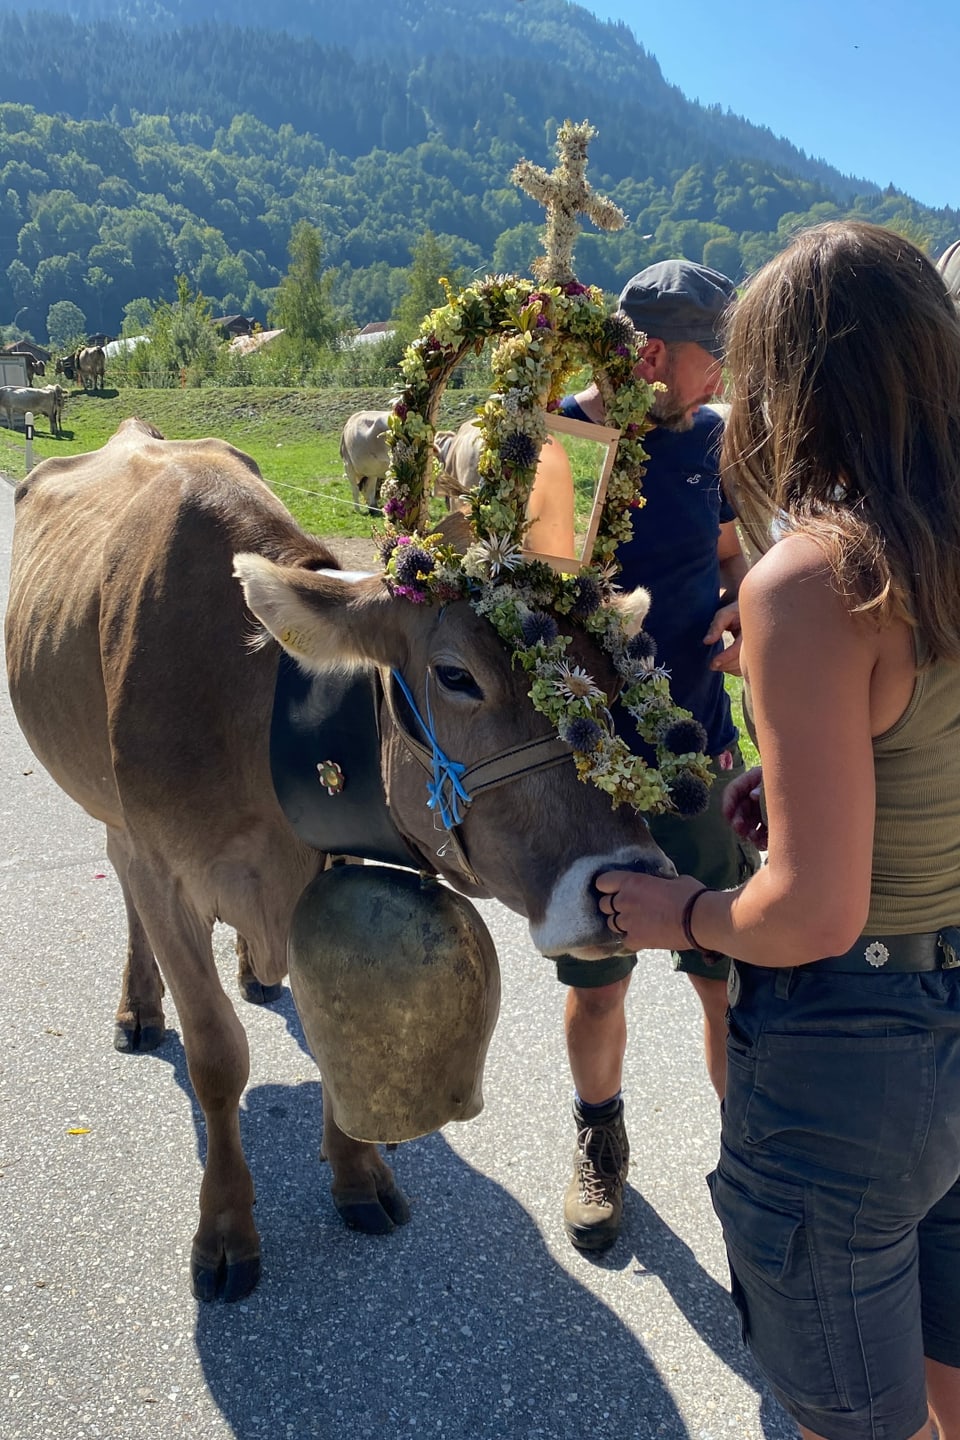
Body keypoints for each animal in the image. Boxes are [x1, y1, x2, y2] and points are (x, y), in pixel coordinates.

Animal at [5, 420, 667, 1307]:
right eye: (455, 676)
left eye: (608, 678)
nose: (627, 883)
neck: (252, 714)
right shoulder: (162, 866)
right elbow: (217, 1056)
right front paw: (225, 1230)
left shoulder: (332, 841)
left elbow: (334, 1028)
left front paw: (356, 1174)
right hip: (111, 816)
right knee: (126, 891)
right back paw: (140, 1008)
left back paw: (252, 970)